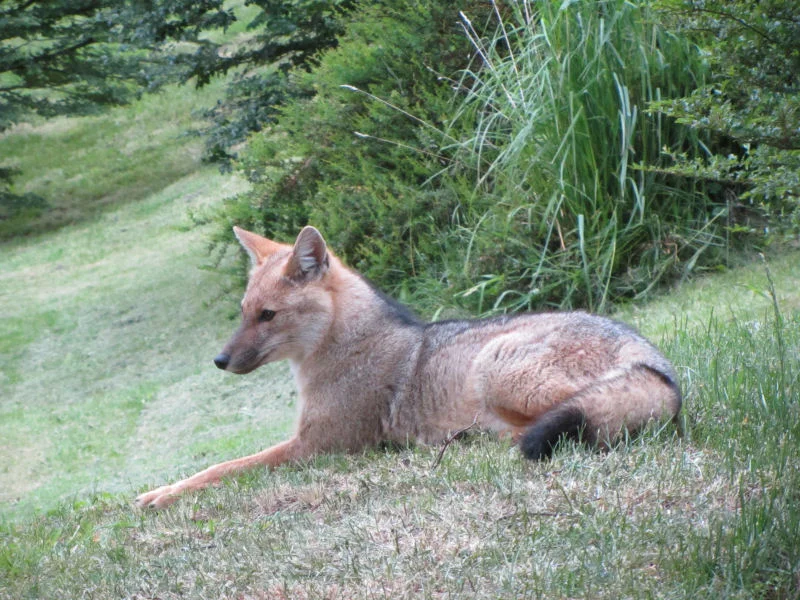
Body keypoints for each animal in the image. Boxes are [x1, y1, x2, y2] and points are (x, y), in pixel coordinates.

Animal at [136, 226, 681, 509]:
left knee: (543, 428)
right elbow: (221, 464)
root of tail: (659, 366)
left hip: (493, 369)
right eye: (243, 312)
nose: (220, 361)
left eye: (267, 316)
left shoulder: (317, 446)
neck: (347, 346)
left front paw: (162, 495)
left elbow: (221, 468)